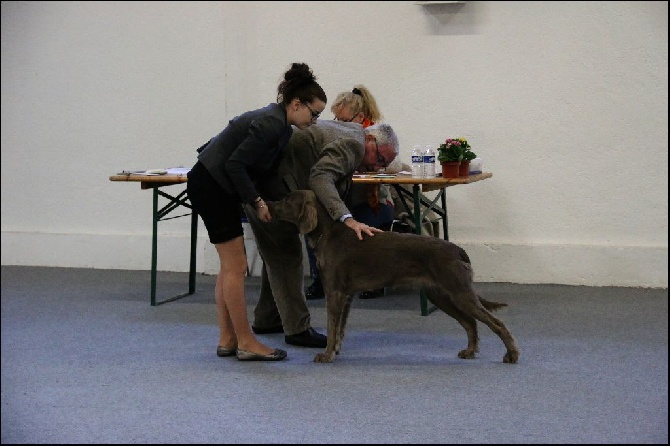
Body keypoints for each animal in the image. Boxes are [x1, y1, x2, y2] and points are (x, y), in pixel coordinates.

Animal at [268, 190, 520, 364]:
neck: (326, 235)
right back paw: (469, 351)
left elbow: (332, 328)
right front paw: (335, 350)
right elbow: (339, 329)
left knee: (495, 323)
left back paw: (511, 355)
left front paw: (327, 354)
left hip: (459, 292)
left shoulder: (335, 292)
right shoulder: (346, 295)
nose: (266, 203)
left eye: (286, 200)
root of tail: (457, 249)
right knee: (470, 322)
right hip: (440, 295)